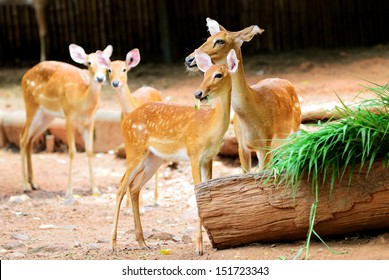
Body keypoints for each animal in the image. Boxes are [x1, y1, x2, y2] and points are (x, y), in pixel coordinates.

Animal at [19, 43, 112, 199]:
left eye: (107, 63)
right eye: (89, 63)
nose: (100, 78)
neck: (82, 102)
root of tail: (24, 76)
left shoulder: (90, 121)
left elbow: (90, 151)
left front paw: (95, 189)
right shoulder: (69, 116)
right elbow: (72, 152)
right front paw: (69, 191)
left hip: (46, 116)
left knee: (30, 140)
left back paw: (34, 183)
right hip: (31, 106)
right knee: (23, 138)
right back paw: (24, 185)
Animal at [97, 48, 164, 210]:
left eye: (124, 69)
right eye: (109, 69)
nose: (115, 83)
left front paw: (142, 206)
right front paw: (128, 208)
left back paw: (157, 199)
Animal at [110, 48, 239, 256]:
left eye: (219, 74)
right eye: (205, 74)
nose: (198, 93)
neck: (208, 126)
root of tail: (125, 122)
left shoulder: (208, 158)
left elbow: (205, 194)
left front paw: (206, 243)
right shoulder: (193, 153)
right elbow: (196, 194)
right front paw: (198, 247)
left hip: (153, 158)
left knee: (134, 186)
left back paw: (142, 242)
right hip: (134, 149)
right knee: (121, 186)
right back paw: (113, 244)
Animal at [183, 18, 302, 173]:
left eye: (220, 41)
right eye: (208, 38)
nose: (189, 59)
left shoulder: (266, 142)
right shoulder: (242, 145)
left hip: (293, 133)